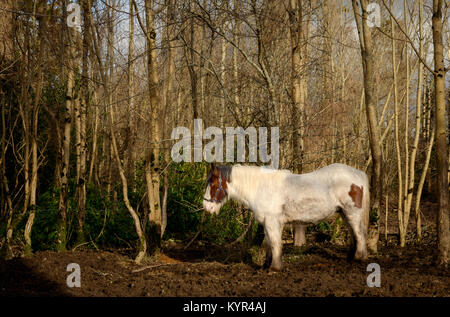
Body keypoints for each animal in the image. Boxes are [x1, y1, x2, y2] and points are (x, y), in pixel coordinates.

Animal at [204, 163, 370, 270]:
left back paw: (359, 259)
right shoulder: (268, 223)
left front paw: (275, 268)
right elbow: (269, 244)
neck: (261, 187)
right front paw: (266, 265)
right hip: (344, 214)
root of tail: (357, 174)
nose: (206, 207)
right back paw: (350, 258)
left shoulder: (272, 222)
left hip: (352, 213)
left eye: (213, 184)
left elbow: (275, 243)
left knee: (360, 235)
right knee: (355, 236)